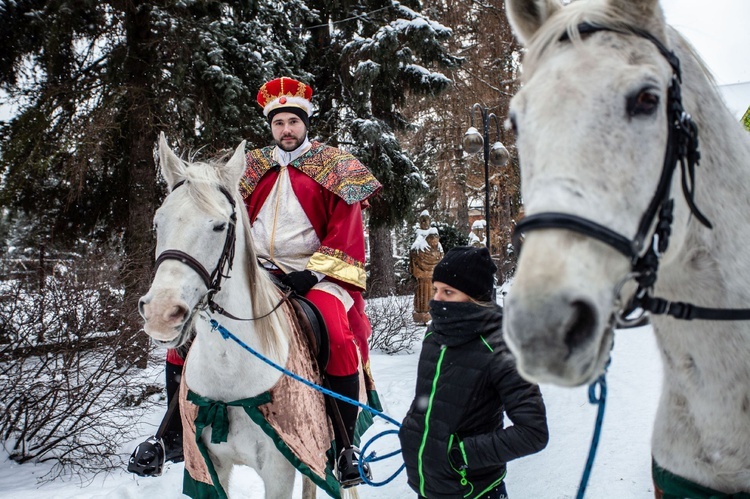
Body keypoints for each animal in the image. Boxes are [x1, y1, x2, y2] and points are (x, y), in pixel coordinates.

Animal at [140, 135, 360, 499]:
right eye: (158, 222)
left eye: (220, 225)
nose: (161, 314)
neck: (230, 368)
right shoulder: (208, 468)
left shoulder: (281, 468)